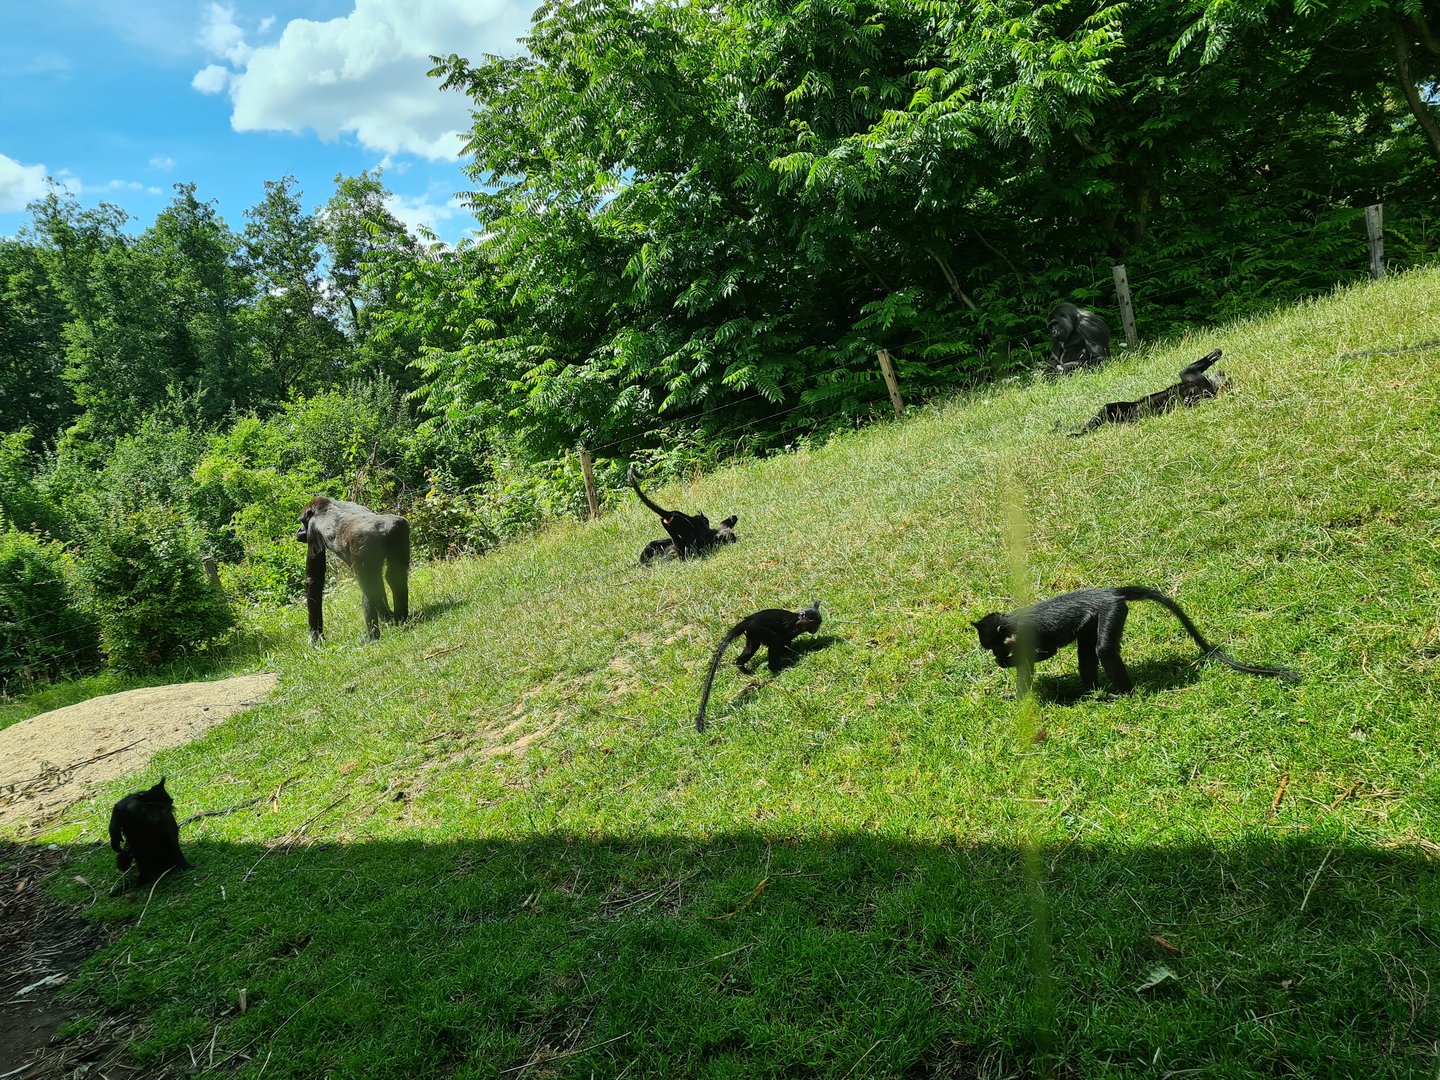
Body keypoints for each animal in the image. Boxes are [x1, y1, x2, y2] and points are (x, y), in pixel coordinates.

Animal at [296, 496, 410, 642]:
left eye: (302, 521)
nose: (299, 530)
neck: (324, 506)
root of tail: (386, 527)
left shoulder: (312, 530)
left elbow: (314, 581)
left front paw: (315, 635)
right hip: (400, 533)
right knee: (394, 576)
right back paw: (400, 618)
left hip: (363, 541)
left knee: (369, 587)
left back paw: (372, 636)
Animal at [695, 602, 823, 731]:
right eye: (814, 623)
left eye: (818, 623)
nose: (816, 630)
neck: (797, 620)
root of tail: (747, 621)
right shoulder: (790, 628)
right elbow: (782, 642)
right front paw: (789, 655)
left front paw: (790, 652)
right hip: (759, 630)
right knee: (774, 641)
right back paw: (775, 667)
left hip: (752, 634)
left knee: (751, 648)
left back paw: (742, 667)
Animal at [972, 586, 1299, 698]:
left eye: (994, 646)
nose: (996, 655)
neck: (1009, 624)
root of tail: (1110, 592)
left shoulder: (1026, 635)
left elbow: (1044, 653)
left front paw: (1007, 666)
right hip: (1098, 617)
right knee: (1087, 650)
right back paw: (1090, 692)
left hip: (1112, 611)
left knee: (1102, 649)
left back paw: (1124, 694)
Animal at [1068, 350, 1227, 436]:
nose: (1222, 373)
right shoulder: (1199, 381)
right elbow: (1185, 372)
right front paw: (1214, 355)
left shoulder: (1207, 390)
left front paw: (1189, 400)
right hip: (1128, 410)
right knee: (1108, 408)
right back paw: (1081, 433)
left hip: (1134, 419)